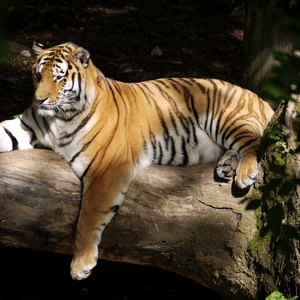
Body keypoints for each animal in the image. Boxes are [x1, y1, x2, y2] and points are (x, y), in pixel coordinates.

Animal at [0, 41, 274, 278]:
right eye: (38, 76)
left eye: (58, 77)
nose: (39, 100)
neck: (59, 118)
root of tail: (257, 97)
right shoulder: (26, 126)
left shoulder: (106, 167)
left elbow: (88, 216)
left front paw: (81, 264)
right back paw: (227, 166)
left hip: (227, 118)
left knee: (254, 141)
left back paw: (243, 173)